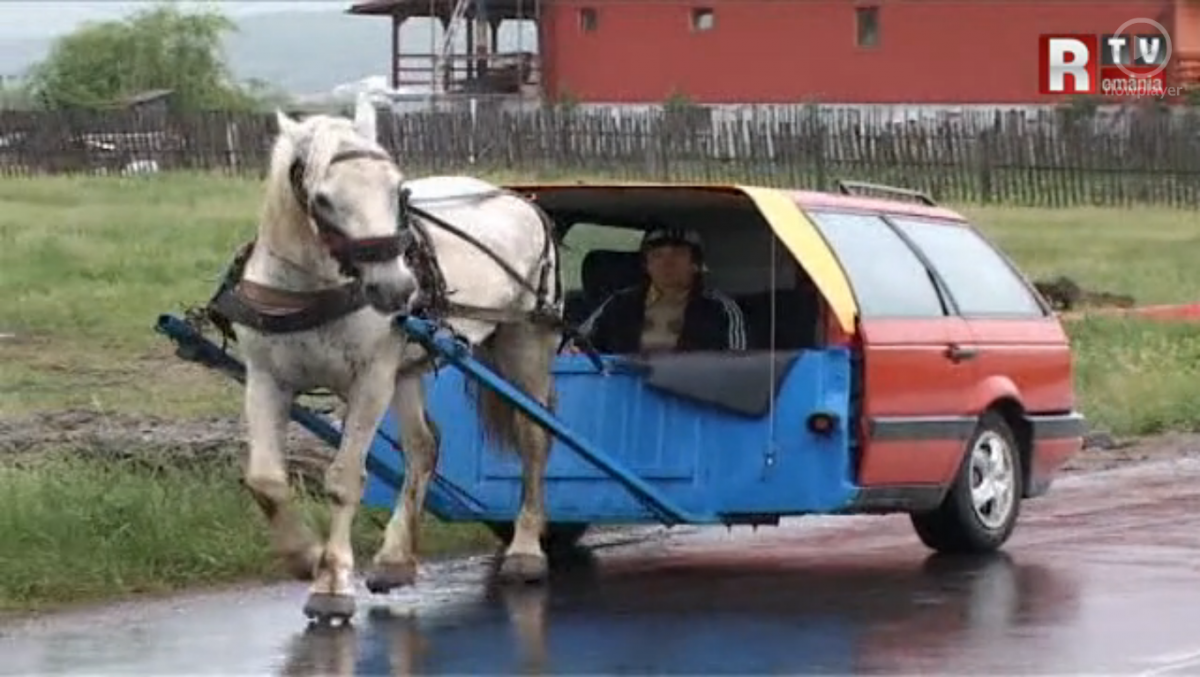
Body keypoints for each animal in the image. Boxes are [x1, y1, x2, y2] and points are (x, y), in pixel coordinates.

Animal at [205, 94, 563, 622]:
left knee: (533, 437)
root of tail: (519, 199)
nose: (397, 289)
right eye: (323, 199)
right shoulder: (267, 379)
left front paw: (332, 583)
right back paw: (395, 559)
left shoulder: (370, 381)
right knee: (424, 446)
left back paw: (524, 549)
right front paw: (305, 556)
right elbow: (266, 480)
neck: (312, 289)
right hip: (408, 368)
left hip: (526, 340)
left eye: (398, 190)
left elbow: (344, 479)